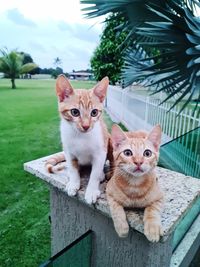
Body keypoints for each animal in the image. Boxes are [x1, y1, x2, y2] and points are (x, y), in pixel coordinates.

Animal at [46, 75, 110, 205]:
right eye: (74, 112)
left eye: (94, 112)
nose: (86, 126)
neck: (81, 136)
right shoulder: (68, 152)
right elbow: (73, 168)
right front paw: (73, 183)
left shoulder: (100, 152)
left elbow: (94, 173)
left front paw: (91, 191)